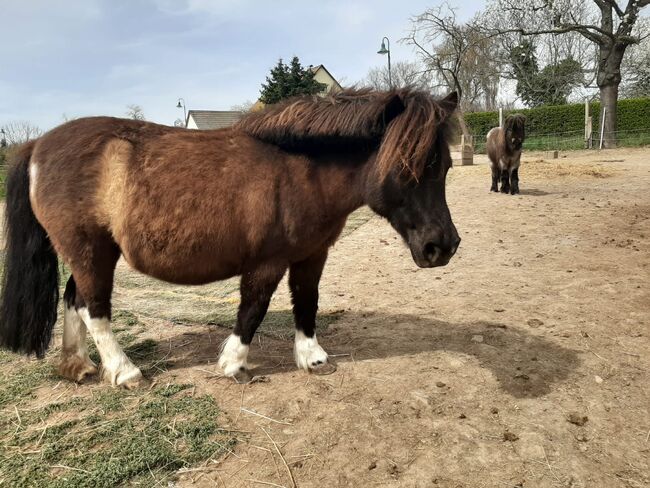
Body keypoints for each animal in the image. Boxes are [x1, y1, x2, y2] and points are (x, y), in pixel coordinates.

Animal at [0, 88, 458, 388]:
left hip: (88, 253)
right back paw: (125, 371)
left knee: (73, 299)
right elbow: (253, 309)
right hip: (91, 251)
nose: (443, 247)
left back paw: (78, 366)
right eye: (406, 165)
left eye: (446, 165)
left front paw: (312, 358)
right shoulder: (267, 262)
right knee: (94, 309)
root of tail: (38, 145)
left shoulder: (312, 254)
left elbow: (307, 302)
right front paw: (233, 364)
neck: (300, 169)